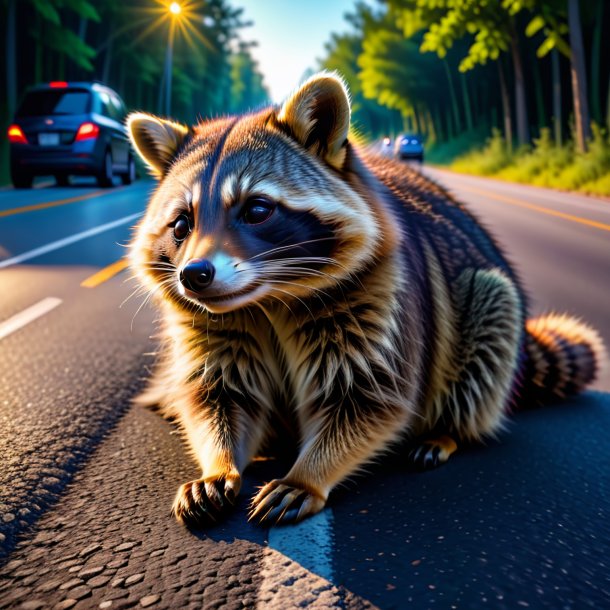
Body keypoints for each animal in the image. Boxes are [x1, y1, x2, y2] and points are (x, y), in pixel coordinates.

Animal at [126, 72, 600, 528]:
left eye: (257, 210)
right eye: (181, 224)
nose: (194, 276)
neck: (267, 298)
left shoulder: (383, 297)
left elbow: (369, 399)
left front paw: (308, 474)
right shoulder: (212, 323)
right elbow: (219, 393)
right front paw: (219, 464)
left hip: (486, 302)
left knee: (490, 326)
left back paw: (448, 430)